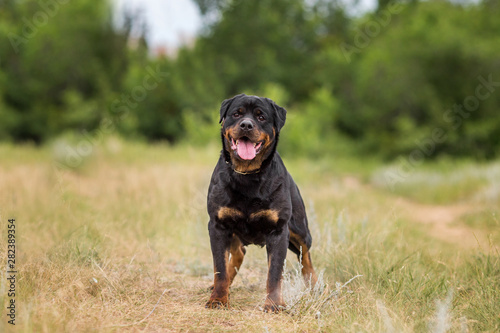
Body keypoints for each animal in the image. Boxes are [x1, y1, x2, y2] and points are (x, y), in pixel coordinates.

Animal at [206, 93, 316, 312]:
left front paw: (274, 304)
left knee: (306, 258)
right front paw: (218, 299)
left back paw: (315, 287)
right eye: (237, 114)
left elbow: (274, 273)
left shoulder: (278, 230)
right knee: (238, 253)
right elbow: (219, 268)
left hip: (300, 230)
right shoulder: (218, 225)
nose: (246, 125)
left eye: (261, 117)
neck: (247, 175)